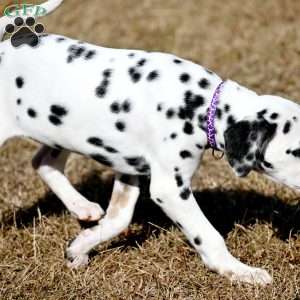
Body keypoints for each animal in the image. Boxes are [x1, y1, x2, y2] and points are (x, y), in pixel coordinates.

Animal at [1, 0, 298, 286]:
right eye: (297, 151)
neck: (201, 104)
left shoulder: (128, 169)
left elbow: (118, 219)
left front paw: (80, 247)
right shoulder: (170, 189)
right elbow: (208, 234)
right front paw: (240, 271)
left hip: (61, 131)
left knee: (43, 162)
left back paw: (81, 207)